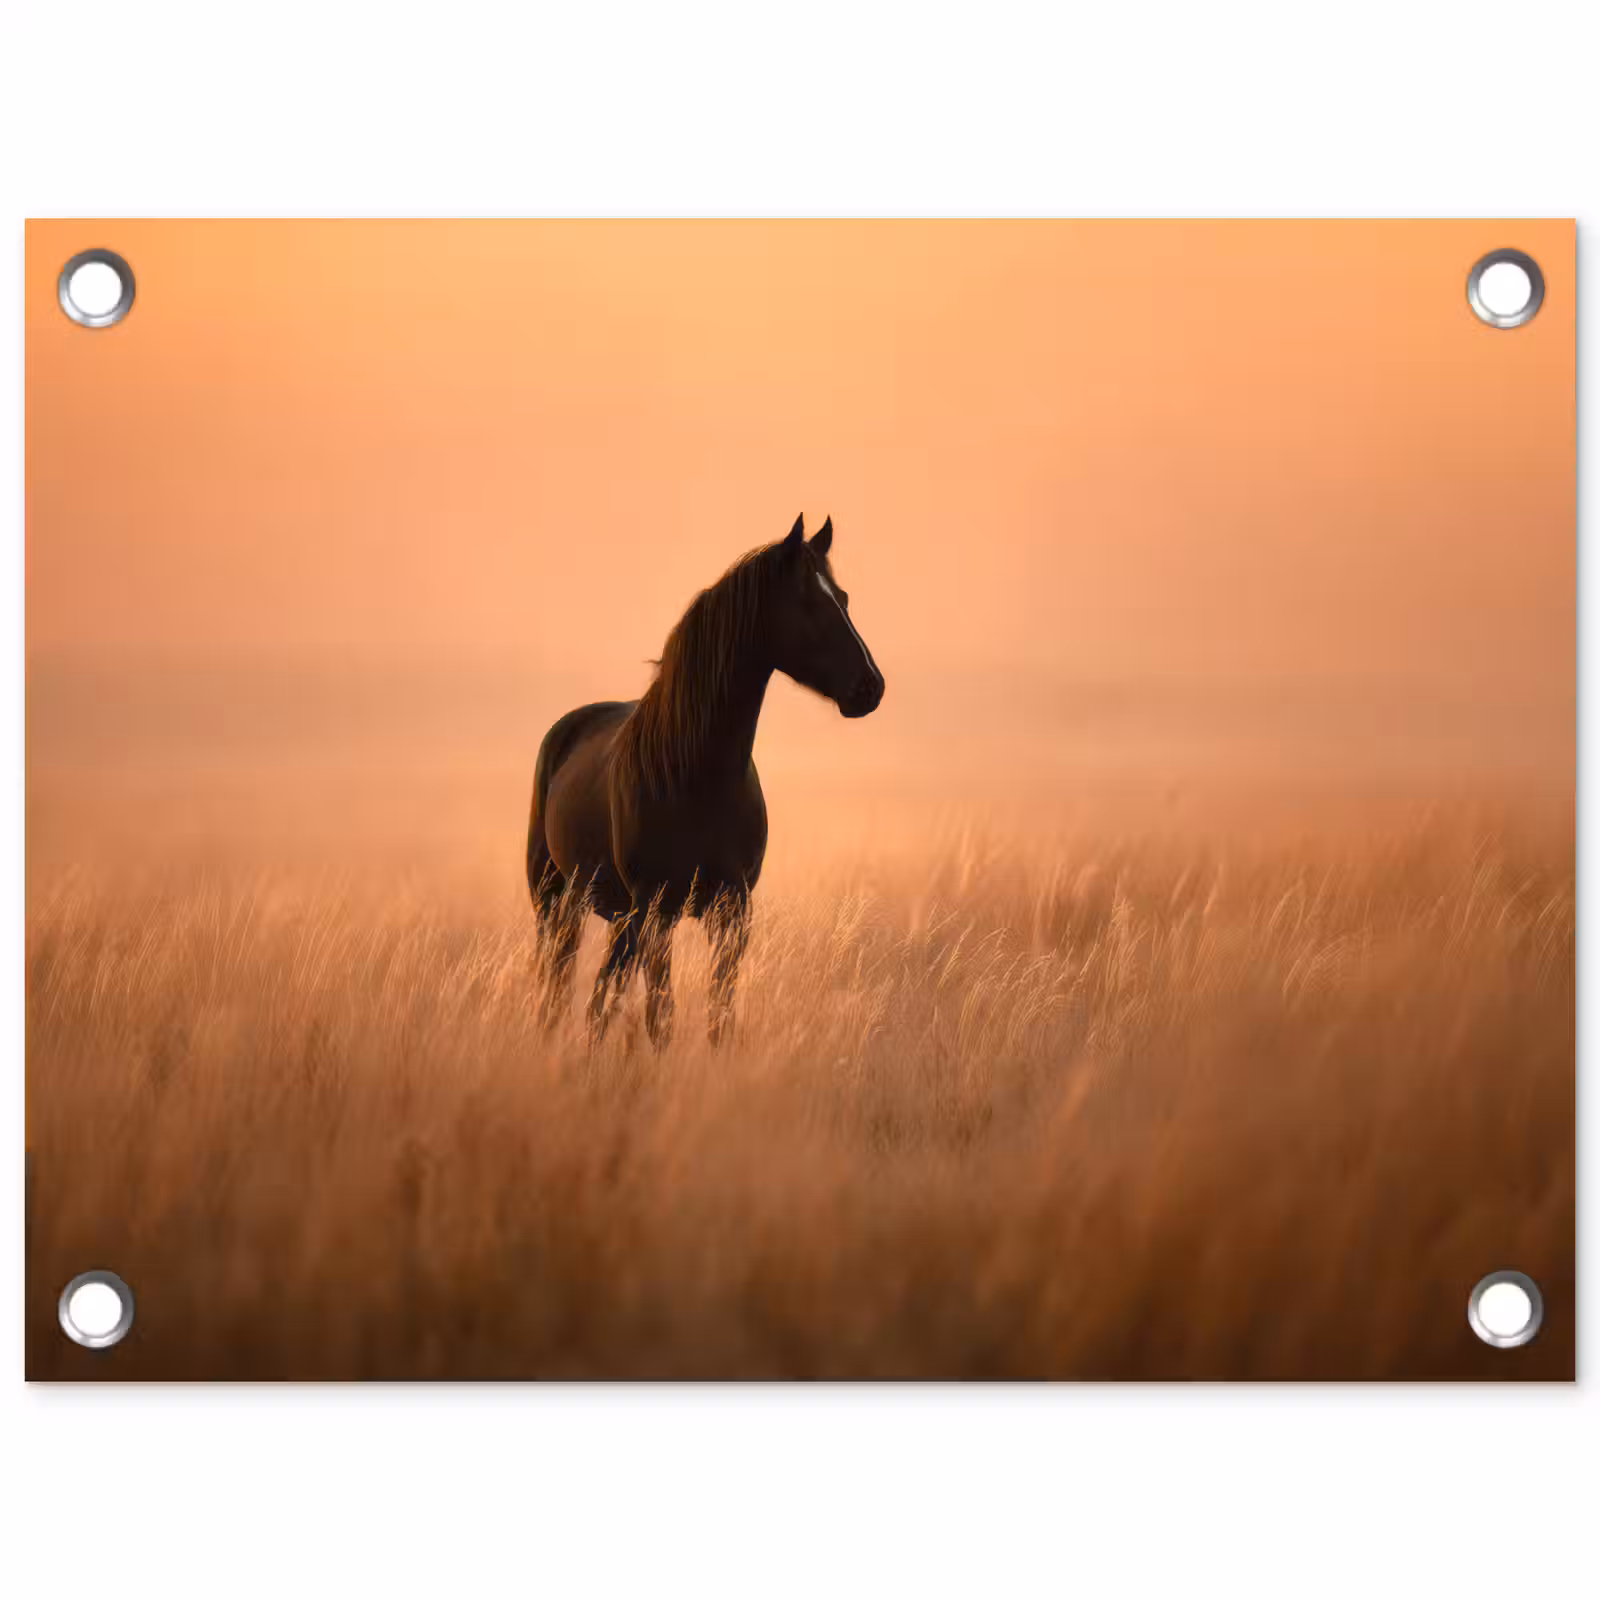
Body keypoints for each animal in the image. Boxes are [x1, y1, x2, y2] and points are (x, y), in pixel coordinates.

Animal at [526, 513, 885, 1047]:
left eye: (842, 597)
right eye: (809, 603)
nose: (871, 687)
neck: (697, 774)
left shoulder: (732, 911)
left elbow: (720, 1016)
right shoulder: (658, 912)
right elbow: (661, 1018)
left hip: (618, 917)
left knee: (598, 1002)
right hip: (559, 903)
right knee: (560, 992)